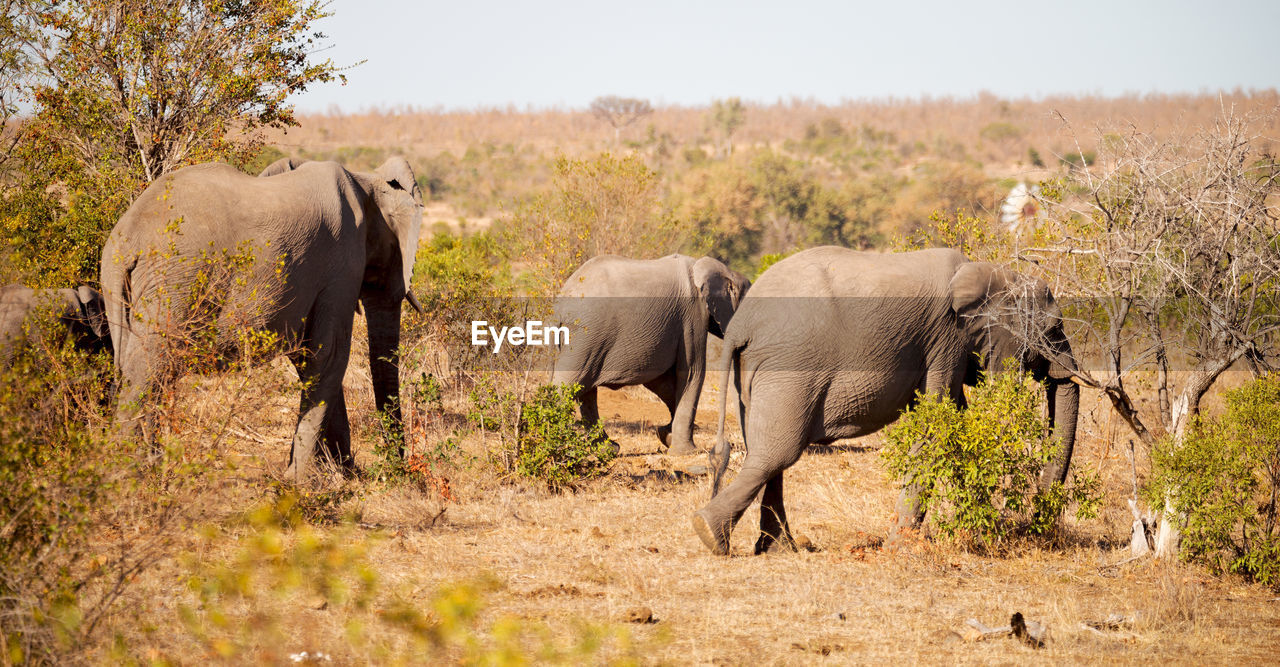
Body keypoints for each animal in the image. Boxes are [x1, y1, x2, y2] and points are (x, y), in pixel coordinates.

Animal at [550, 253, 747, 453]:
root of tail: (560, 302)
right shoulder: (693, 315)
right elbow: (692, 373)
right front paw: (687, 451)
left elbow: (661, 382)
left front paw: (666, 435)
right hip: (586, 335)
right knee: (569, 383)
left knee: (585, 390)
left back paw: (609, 449)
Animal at [691, 247, 1080, 553]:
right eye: (1052, 330)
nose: (1035, 521)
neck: (991, 272)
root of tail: (741, 325)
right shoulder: (946, 340)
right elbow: (936, 428)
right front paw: (902, 547)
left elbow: (954, 425)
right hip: (790, 364)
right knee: (777, 453)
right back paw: (709, 534)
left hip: (753, 371)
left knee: (768, 452)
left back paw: (775, 549)